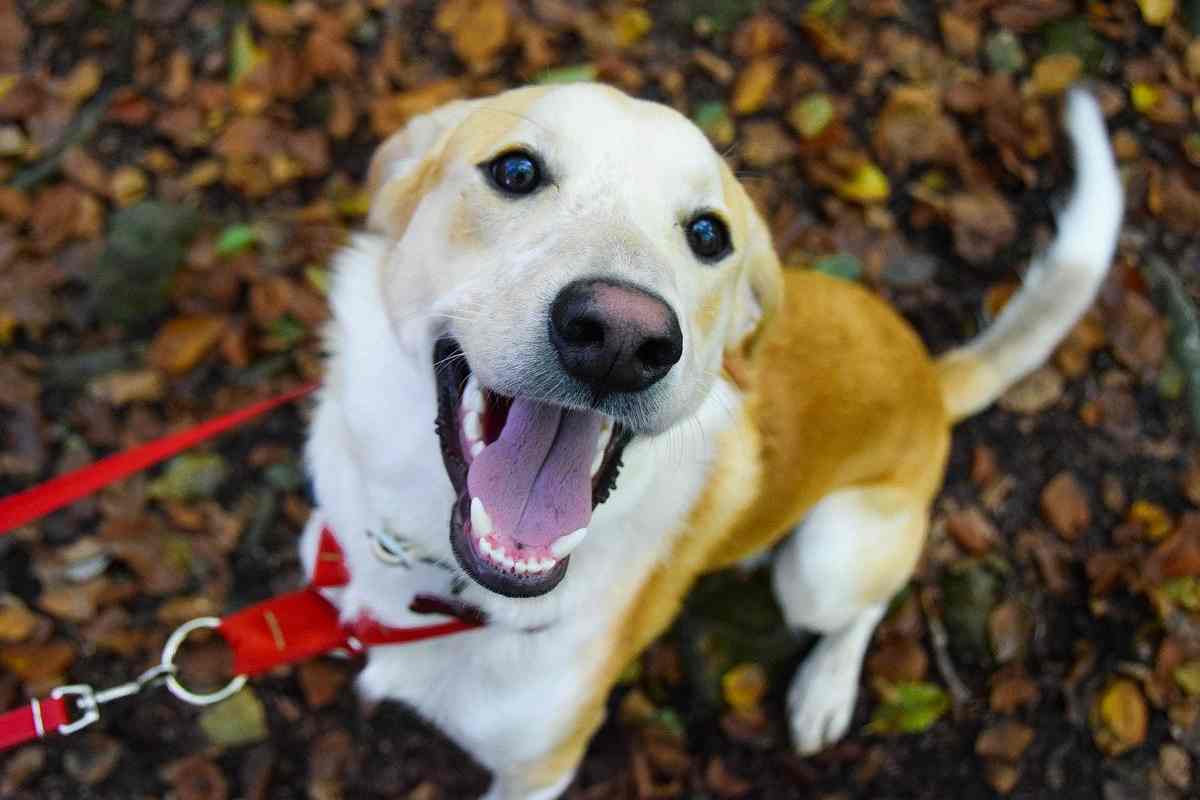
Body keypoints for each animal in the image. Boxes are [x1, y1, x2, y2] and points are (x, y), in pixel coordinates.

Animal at [300, 84, 1123, 796]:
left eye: (707, 233)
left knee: (862, 607)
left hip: (826, 561)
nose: (622, 338)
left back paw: (825, 688)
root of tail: (930, 374)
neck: (439, 575)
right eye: (516, 171)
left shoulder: (541, 766)